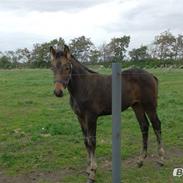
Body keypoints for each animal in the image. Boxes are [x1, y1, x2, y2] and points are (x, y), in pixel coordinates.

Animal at [49, 44, 165, 183]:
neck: (84, 86)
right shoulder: (80, 118)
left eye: (67, 67)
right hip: (137, 106)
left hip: (149, 105)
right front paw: (88, 169)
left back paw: (161, 159)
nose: (58, 92)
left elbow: (92, 142)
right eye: (52, 68)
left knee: (156, 125)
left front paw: (92, 173)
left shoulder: (91, 117)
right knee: (144, 126)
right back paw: (140, 160)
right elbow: (86, 141)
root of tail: (151, 75)